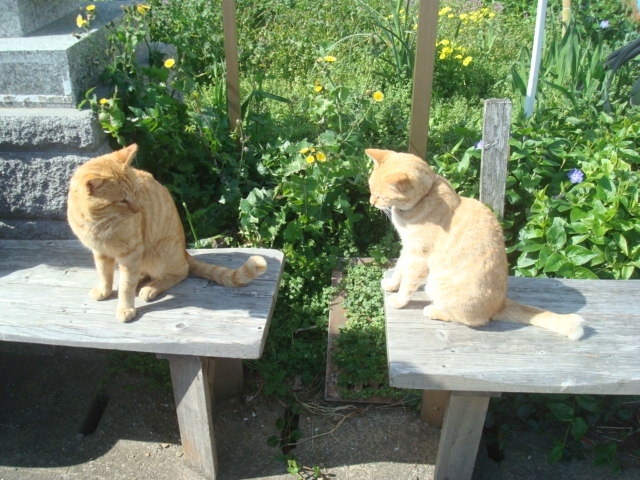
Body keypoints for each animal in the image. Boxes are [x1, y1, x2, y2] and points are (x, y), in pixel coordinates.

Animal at [69, 143, 268, 322]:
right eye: (122, 201)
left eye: (135, 192)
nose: (138, 209)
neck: (98, 223)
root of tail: (184, 252)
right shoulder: (100, 252)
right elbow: (105, 275)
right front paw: (104, 291)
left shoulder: (130, 253)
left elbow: (126, 286)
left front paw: (125, 308)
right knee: (144, 272)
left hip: (159, 253)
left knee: (180, 272)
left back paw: (150, 288)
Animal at [364, 148, 584, 340]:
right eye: (370, 189)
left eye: (380, 196)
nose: (371, 202)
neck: (425, 197)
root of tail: (500, 304)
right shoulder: (408, 247)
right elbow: (399, 269)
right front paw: (391, 284)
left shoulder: (418, 256)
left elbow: (408, 282)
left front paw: (399, 300)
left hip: (436, 285)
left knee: (472, 320)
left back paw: (433, 310)